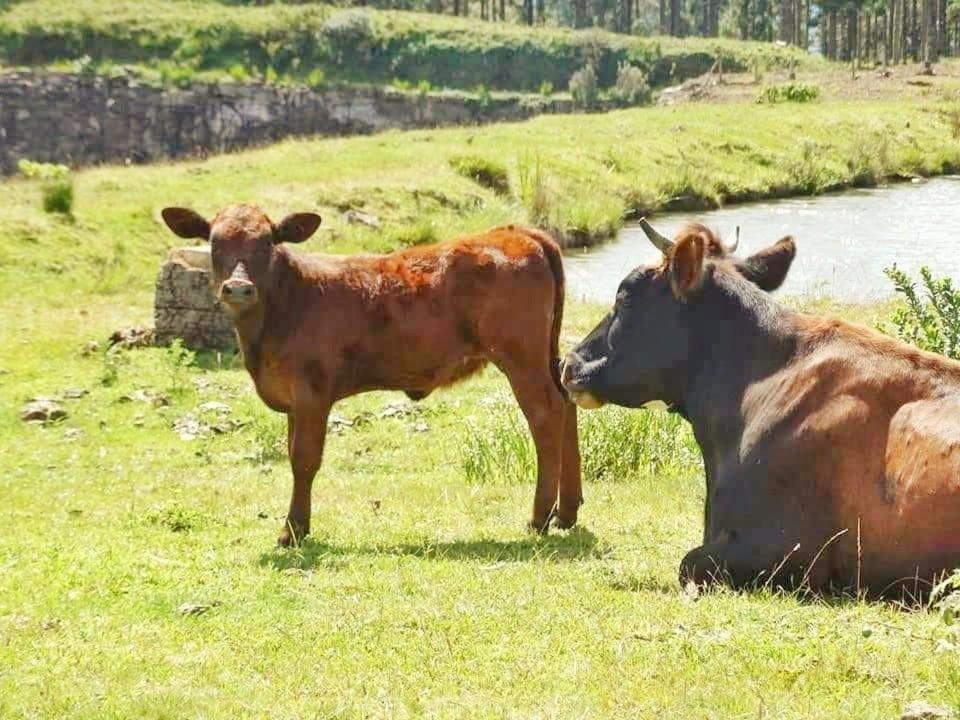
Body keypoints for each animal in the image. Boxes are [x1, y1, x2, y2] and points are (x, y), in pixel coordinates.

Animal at [162, 202, 580, 544]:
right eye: (214, 242)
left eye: (267, 242)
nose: (238, 289)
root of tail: (514, 232)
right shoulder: (293, 399)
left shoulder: (312, 393)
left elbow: (303, 459)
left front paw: (293, 530)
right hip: (543, 355)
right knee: (566, 404)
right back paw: (567, 512)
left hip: (520, 357)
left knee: (546, 415)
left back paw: (540, 518)